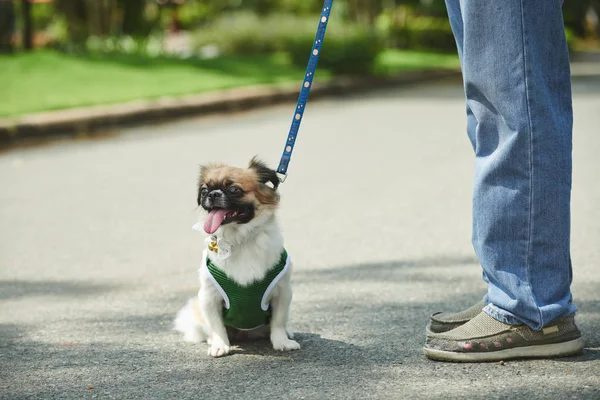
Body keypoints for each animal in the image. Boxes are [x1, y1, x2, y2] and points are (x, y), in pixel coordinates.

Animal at [173, 156, 300, 356]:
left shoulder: (282, 292)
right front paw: (220, 345)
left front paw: (282, 342)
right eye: (204, 190)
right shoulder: (209, 297)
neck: (240, 239)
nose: (213, 194)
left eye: (234, 189)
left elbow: (278, 322)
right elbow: (217, 326)